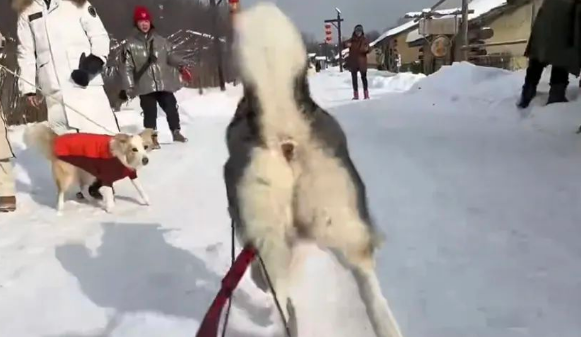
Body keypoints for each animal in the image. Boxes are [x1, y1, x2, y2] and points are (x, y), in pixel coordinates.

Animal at [24, 122, 153, 213]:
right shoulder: (107, 177)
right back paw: (60, 209)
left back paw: (93, 200)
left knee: (84, 189)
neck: (121, 156)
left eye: (145, 147)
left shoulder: (131, 174)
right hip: (68, 175)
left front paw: (147, 202)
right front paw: (110, 208)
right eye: (134, 149)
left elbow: (140, 189)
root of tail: (57, 139)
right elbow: (109, 194)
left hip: (88, 174)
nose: (145, 160)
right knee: (61, 192)